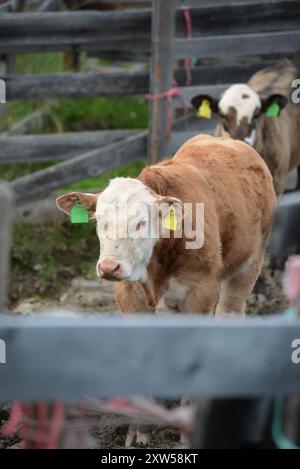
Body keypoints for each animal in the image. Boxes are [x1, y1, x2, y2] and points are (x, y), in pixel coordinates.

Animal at [56, 135, 276, 318]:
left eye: (141, 222)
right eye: (99, 220)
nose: (109, 267)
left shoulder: (201, 292)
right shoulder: (130, 296)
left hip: (250, 264)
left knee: (230, 308)